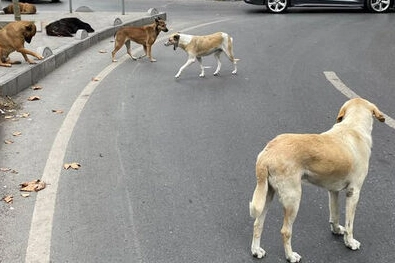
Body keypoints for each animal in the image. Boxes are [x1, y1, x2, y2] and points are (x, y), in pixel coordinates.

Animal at [251, 98, 386, 262]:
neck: (353, 127)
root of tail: (267, 152)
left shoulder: (333, 191)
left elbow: (334, 215)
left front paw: (336, 230)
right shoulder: (354, 192)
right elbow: (350, 224)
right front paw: (350, 242)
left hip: (267, 195)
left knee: (258, 224)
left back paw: (256, 251)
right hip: (293, 199)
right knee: (285, 231)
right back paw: (291, 256)